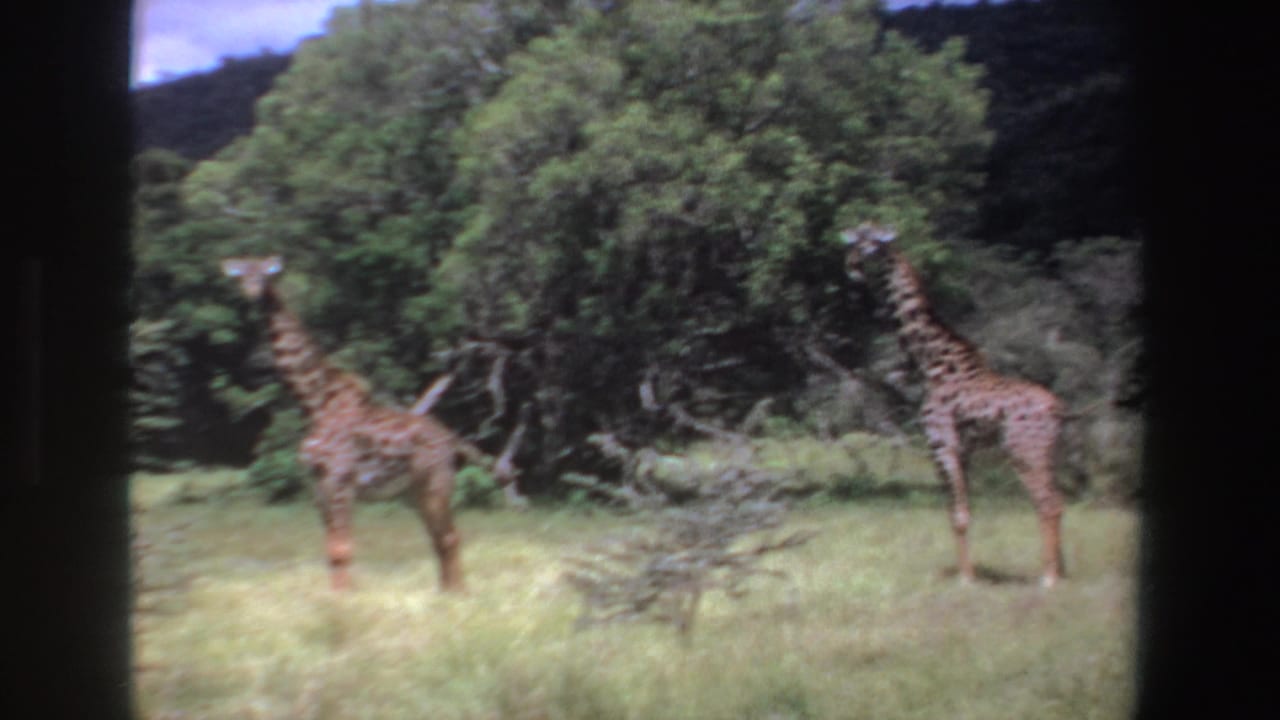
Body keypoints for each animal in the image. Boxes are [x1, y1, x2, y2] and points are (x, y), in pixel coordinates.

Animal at [221, 255, 505, 592]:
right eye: (241, 276)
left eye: (265, 275)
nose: (252, 293)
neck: (315, 403)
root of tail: (452, 438)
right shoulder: (319, 485)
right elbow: (331, 551)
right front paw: (335, 598)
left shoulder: (341, 480)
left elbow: (343, 549)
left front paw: (346, 600)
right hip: (413, 492)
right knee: (439, 539)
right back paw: (444, 593)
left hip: (437, 482)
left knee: (450, 536)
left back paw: (458, 595)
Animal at [841, 224, 1066, 587]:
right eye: (856, 238)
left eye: (871, 243)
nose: (851, 264)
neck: (930, 363)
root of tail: (1059, 410)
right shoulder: (964, 450)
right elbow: (962, 510)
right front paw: (967, 574)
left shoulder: (940, 442)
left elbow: (957, 514)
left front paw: (966, 579)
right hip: (1048, 452)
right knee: (1058, 500)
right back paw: (1059, 570)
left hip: (1022, 450)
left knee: (1048, 502)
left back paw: (1048, 579)